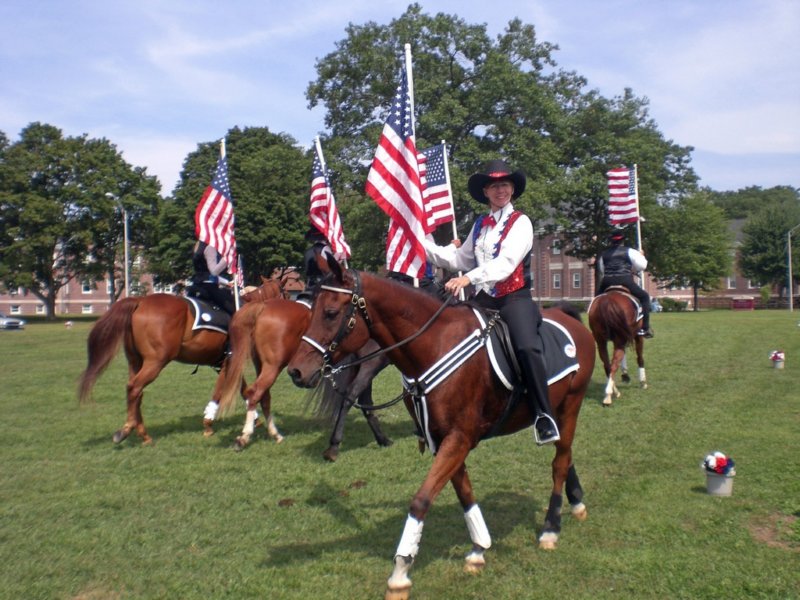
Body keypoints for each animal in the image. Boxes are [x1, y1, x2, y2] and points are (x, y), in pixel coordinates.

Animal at [76, 278, 288, 446]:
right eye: (285, 293)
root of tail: (140, 301)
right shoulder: (228, 362)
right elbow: (220, 392)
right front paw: (209, 423)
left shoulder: (225, 364)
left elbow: (242, 390)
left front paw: (254, 419)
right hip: (155, 362)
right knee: (134, 388)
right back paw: (127, 429)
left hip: (136, 362)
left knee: (137, 393)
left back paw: (143, 434)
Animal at [214, 298, 392, 460]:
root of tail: (263, 305)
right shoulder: (370, 363)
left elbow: (364, 402)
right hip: (272, 367)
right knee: (254, 393)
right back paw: (245, 436)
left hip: (262, 366)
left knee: (264, 397)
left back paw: (274, 434)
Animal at [286, 262, 592, 600]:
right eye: (311, 309)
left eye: (329, 313)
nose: (296, 371)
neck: (434, 345)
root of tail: (569, 318)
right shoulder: (444, 439)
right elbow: (464, 492)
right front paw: (478, 548)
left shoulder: (459, 438)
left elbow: (421, 500)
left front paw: (400, 571)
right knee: (566, 455)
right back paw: (575, 502)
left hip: (571, 405)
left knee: (559, 462)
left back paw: (551, 528)